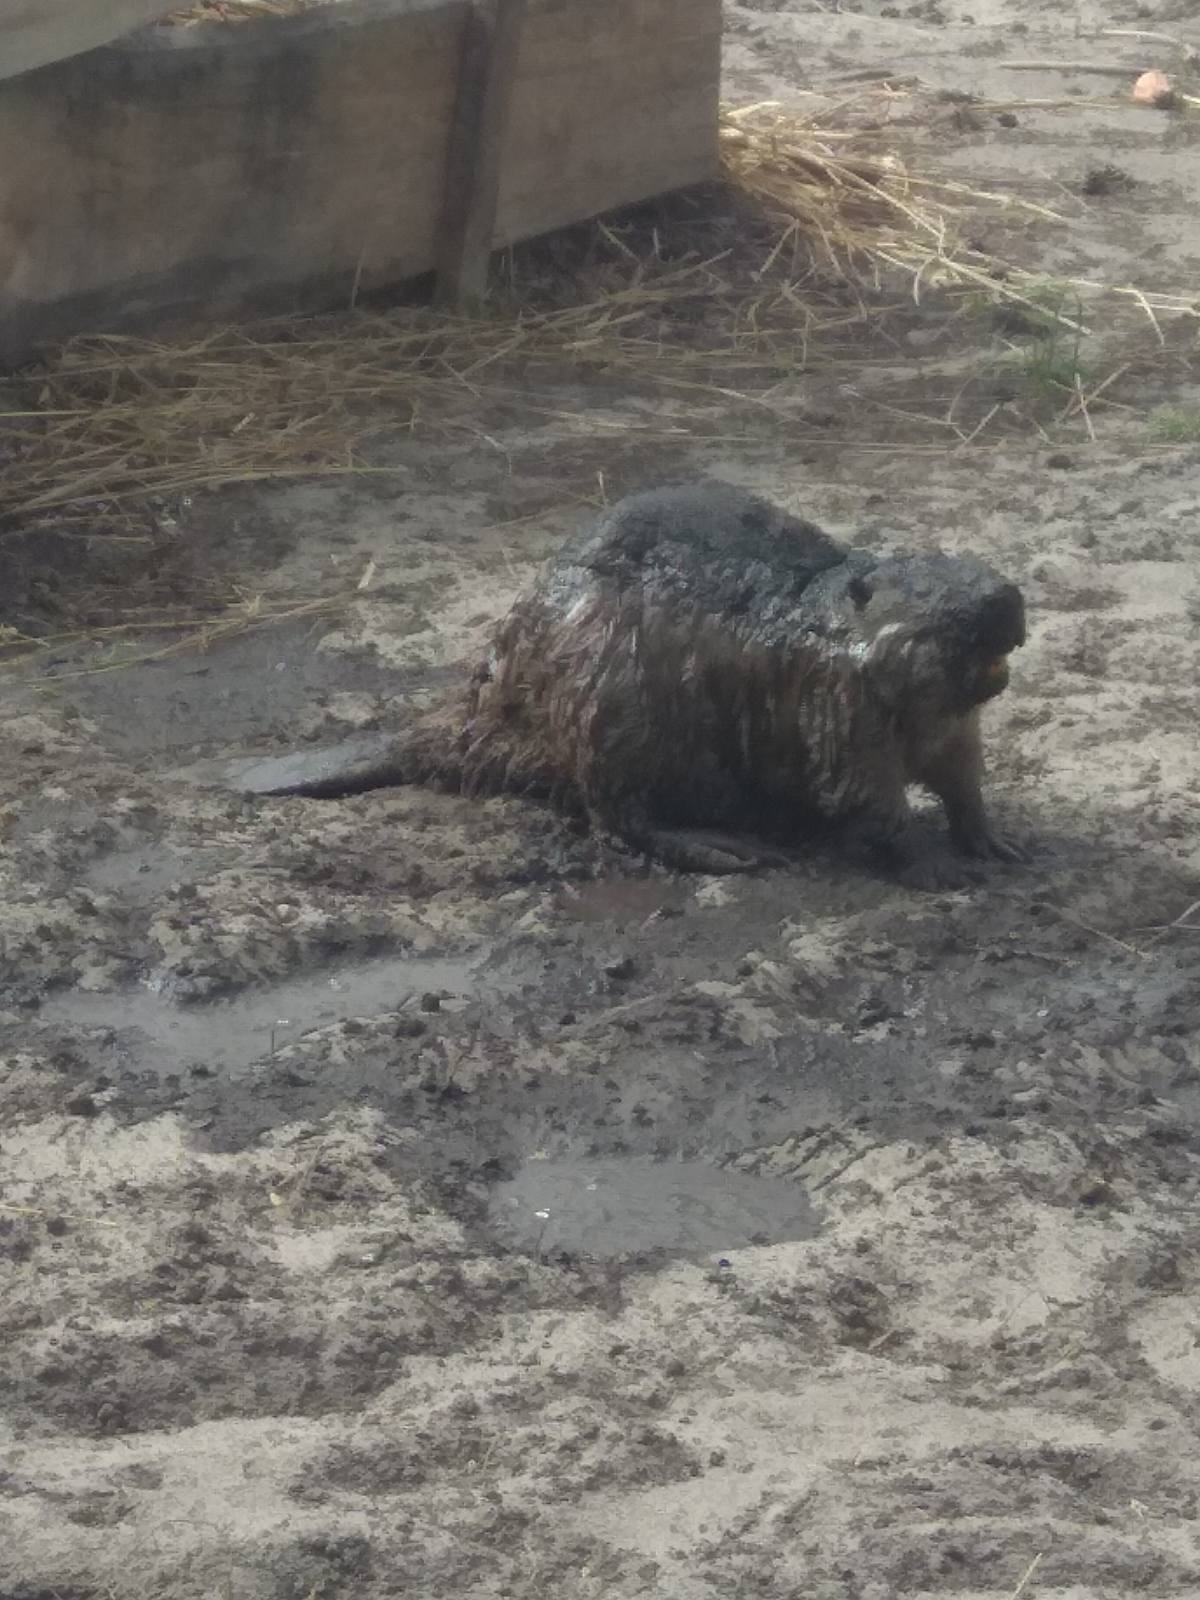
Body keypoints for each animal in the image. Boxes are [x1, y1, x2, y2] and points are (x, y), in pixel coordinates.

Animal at [220, 480, 1030, 896]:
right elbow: (866, 798)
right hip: (616, 705)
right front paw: (940, 868)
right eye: (927, 591)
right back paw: (730, 847)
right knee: (619, 813)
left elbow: (963, 774)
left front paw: (998, 843)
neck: (815, 617)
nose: (1007, 597)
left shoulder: (946, 723)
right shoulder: (836, 708)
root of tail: (478, 717)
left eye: (966, 565)